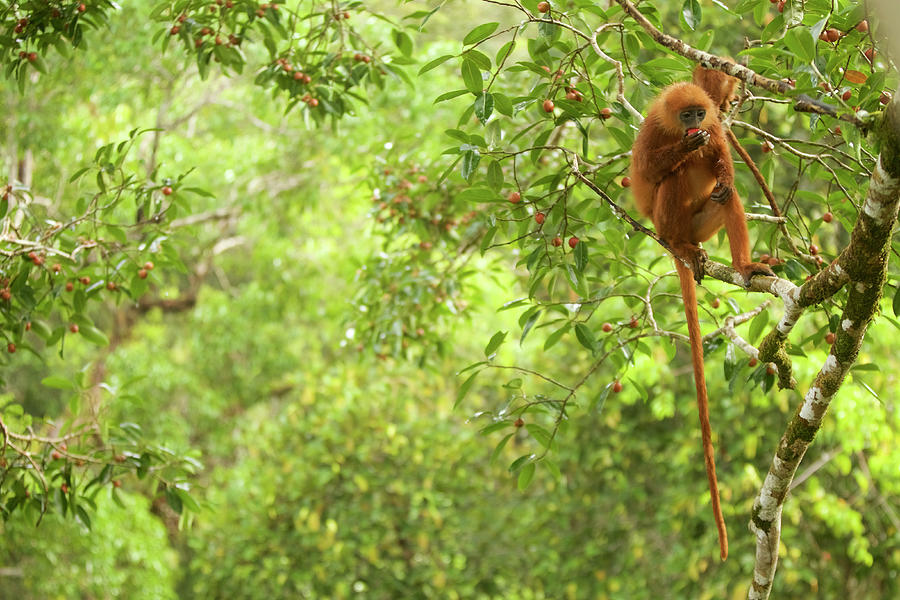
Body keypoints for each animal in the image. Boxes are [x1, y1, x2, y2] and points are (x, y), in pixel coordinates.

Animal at [624, 71, 772, 564]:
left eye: (697, 112)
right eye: (684, 114)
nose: (693, 124)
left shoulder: (715, 130)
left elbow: (724, 163)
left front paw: (711, 153)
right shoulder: (652, 131)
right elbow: (649, 172)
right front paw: (684, 148)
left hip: (705, 222)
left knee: (727, 196)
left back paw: (745, 266)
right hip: (666, 221)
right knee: (672, 179)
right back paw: (680, 243)